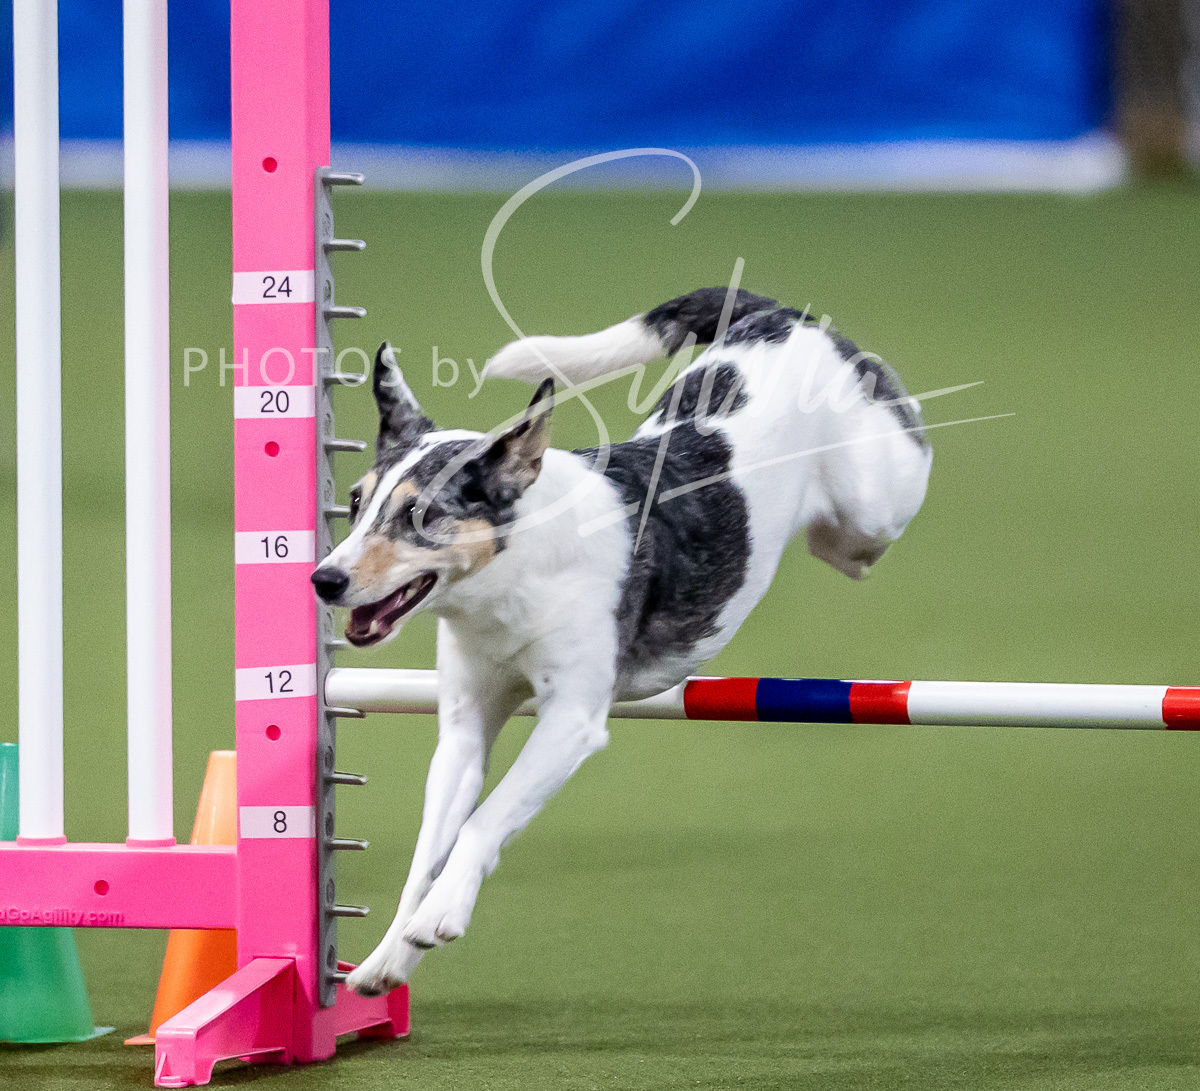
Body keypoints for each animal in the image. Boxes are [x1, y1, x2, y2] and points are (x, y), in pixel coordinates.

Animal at [310, 287, 933, 995]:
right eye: (354, 503)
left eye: (420, 516)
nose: (324, 579)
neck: (514, 579)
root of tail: (776, 314)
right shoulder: (465, 729)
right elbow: (427, 855)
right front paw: (390, 957)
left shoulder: (572, 720)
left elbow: (483, 821)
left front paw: (441, 917)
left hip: (872, 504)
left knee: (896, 465)